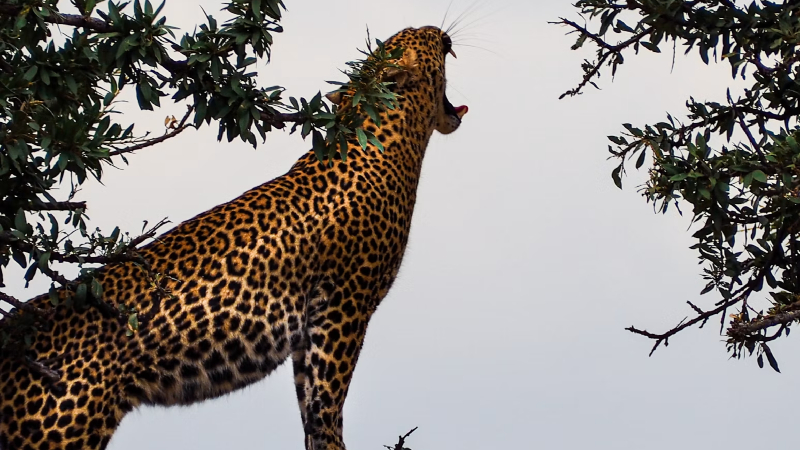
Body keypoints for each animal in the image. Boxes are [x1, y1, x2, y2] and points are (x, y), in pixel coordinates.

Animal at [0, 25, 467, 450]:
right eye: (419, 34)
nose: (441, 31)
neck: (396, 138)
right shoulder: (344, 306)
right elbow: (328, 403)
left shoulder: (310, 329)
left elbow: (310, 408)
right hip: (61, 428)